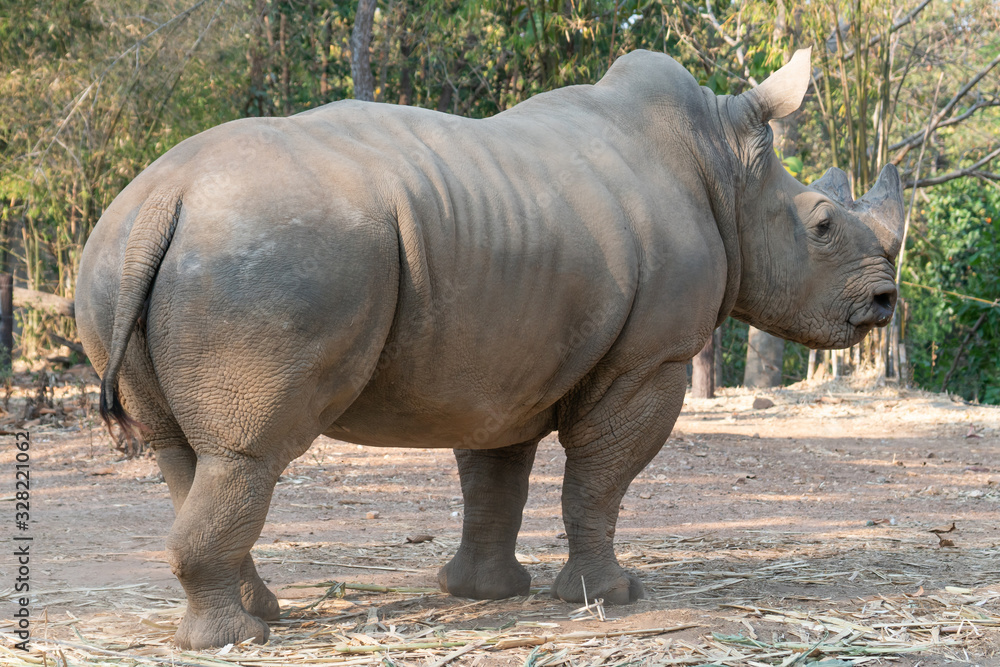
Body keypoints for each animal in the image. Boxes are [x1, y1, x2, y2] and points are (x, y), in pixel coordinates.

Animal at [76, 47, 904, 649]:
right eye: (822, 223)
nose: (885, 302)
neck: (725, 170)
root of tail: (165, 197)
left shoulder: (501, 358)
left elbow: (494, 479)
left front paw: (483, 592)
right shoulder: (651, 359)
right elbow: (599, 480)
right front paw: (611, 596)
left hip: (117, 256)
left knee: (187, 454)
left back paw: (260, 615)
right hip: (264, 252)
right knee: (248, 452)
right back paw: (234, 639)